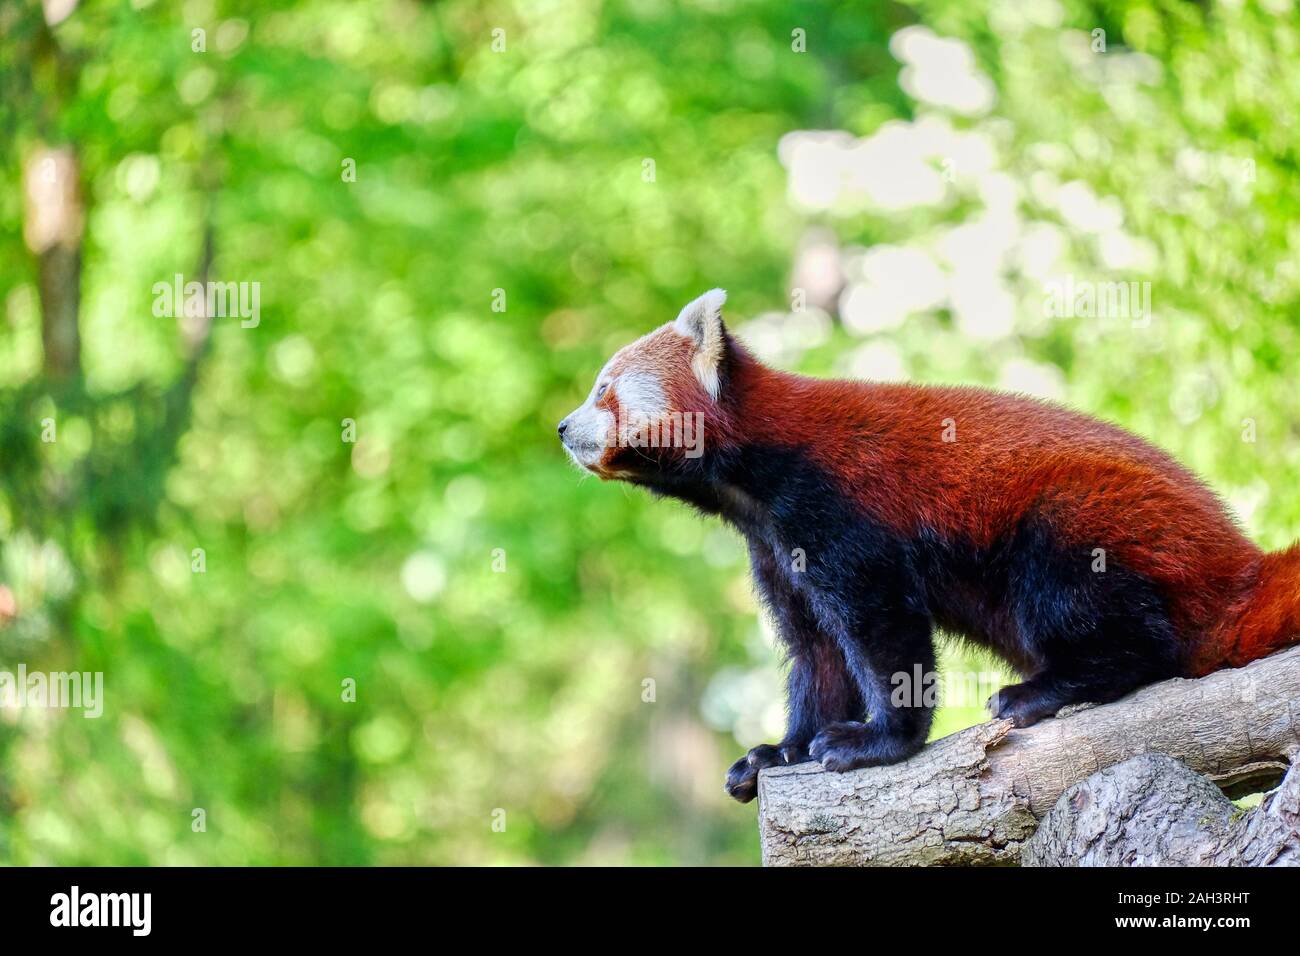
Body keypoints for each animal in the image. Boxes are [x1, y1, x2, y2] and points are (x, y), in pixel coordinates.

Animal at [564, 290, 1300, 801]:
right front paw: (779, 751)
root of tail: (1236, 564)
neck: (752, 484)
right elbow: (816, 652)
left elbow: (883, 631)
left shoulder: (843, 511)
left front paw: (879, 741)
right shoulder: (775, 548)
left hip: (1092, 520)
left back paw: (1046, 690)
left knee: (1110, 614)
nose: (563, 427)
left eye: (604, 391)